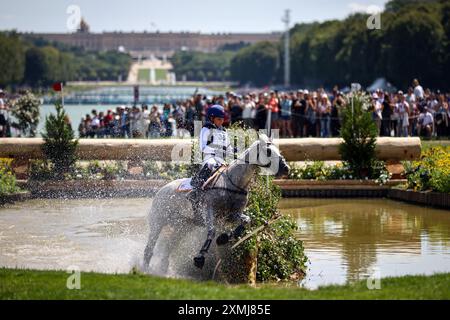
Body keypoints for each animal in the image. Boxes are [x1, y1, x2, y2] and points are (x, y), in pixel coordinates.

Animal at [142, 135, 288, 278]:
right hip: (157, 223)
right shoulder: (209, 211)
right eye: (268, 151)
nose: (286, 168)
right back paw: (145, 269)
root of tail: (161, 190)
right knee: (149, 249)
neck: (232, 183)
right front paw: (200, 258)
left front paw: (223, 238)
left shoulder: (233, 214)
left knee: (168, 248)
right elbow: (211, 231)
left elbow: (246, 221)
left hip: (183, 227)